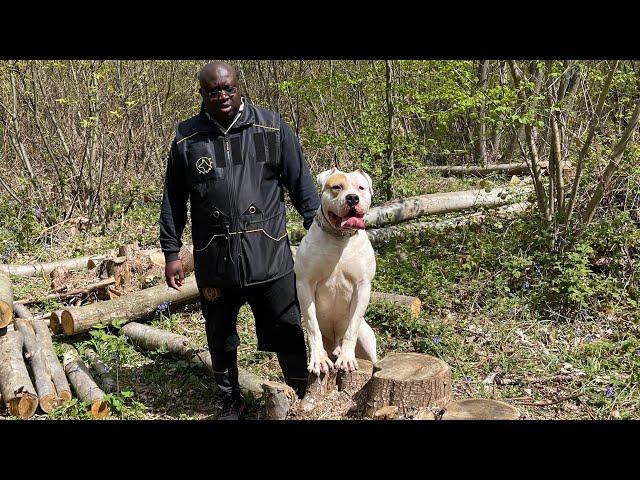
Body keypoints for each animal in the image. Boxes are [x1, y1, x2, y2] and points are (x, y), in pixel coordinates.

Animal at [296, 167, 380, 376]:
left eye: (361, 188)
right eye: (337, 187)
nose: (352, 198)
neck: (339, 238)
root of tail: (335, 345)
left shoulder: (363, 287)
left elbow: (352, 327)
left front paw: (347, 359)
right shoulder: (304, 284)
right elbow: (313, 327)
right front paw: (319, 359)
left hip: (366, 339)